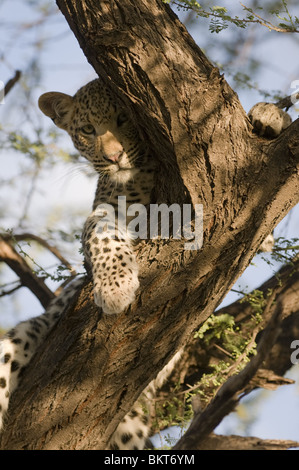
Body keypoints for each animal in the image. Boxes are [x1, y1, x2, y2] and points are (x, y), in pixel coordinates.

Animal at [0, 77, 292, 448]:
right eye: (87, 129)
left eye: (124, 118)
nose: (114, 158)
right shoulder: (107, 210)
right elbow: (102, 233)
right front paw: (115, 288)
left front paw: (270, 115)